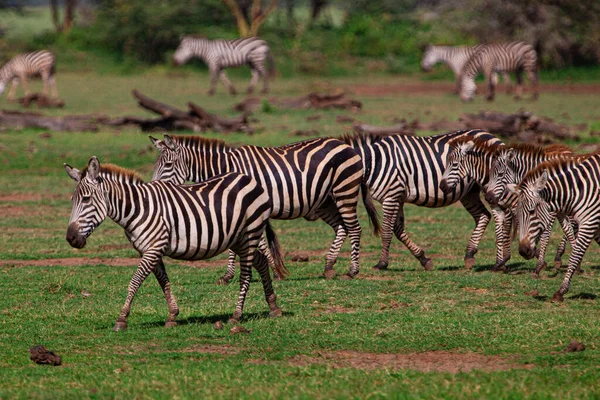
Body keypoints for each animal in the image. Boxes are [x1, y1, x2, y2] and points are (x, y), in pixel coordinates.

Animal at [64, 156, 288, 332]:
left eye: (86, 199)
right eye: (72, 200)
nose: (71, 239)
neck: (138, 208)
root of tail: (249, 179)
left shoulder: (153, 248)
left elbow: (134, 282)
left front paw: (122, 318)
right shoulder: (149, 250)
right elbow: (164, 281)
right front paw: (172, 315)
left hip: (250, 233)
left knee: (246, 275)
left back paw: (237, 314)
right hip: (239, 239)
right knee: (260, 262)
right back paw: (273, 306)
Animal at [150, 134, 376, 282]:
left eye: (168, 165)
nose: (153, 187)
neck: (228, 169)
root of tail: (346, 145)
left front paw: (273, 271)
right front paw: (232, 274)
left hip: (344, 189)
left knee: (354, 228)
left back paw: (353, 270)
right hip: (324, 200)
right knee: (341, 227)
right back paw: (329, 266)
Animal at [342, 130, 502, 270]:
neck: (376, 162)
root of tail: (489, 134)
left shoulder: (391, 196)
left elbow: (387, 230)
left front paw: (382, 263)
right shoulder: (397, 198)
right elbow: (398, 230)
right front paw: (423, 259)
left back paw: (499, 261)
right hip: (469, 192)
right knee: (483, 215)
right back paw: (469, 255)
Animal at [440, 138, 576, 276]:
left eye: (455, 165)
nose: (442, 187)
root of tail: (569, 151)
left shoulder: (516, 207)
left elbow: (514, 231)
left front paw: (515, 258)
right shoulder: (497, 207)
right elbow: (499, 234)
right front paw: (499, 263)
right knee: (569, 227)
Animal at [508, 155, 600, 302]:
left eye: (532, 211)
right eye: (516, 214)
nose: (523, 251)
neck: (580, 190)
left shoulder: (589, 222)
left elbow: (574, 256)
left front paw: (561, 291)